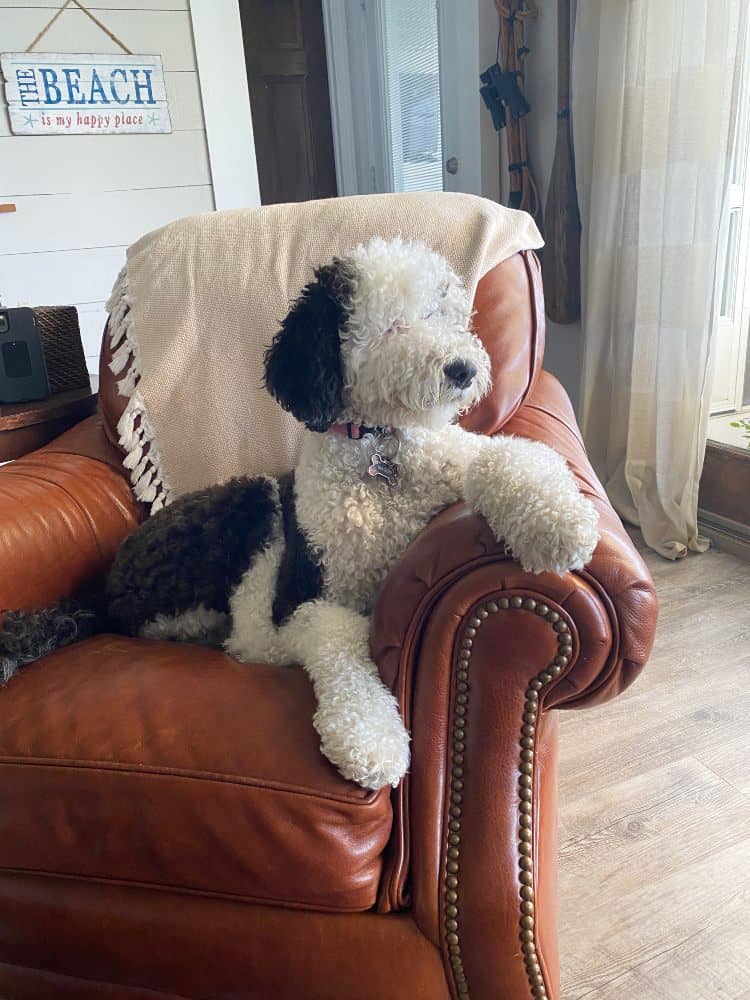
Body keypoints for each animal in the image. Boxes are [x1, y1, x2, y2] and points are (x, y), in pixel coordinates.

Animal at [0, 238, 600, 792]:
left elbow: (511, 456)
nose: (463, 369)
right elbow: (339, 645)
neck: (379, 452)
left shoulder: (459, 458)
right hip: (249, 511)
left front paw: (560, 525)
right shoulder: (308, 596)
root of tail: (103, 589)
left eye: (439, 310)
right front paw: (370, 740)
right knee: (232, 631)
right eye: (388, 324)